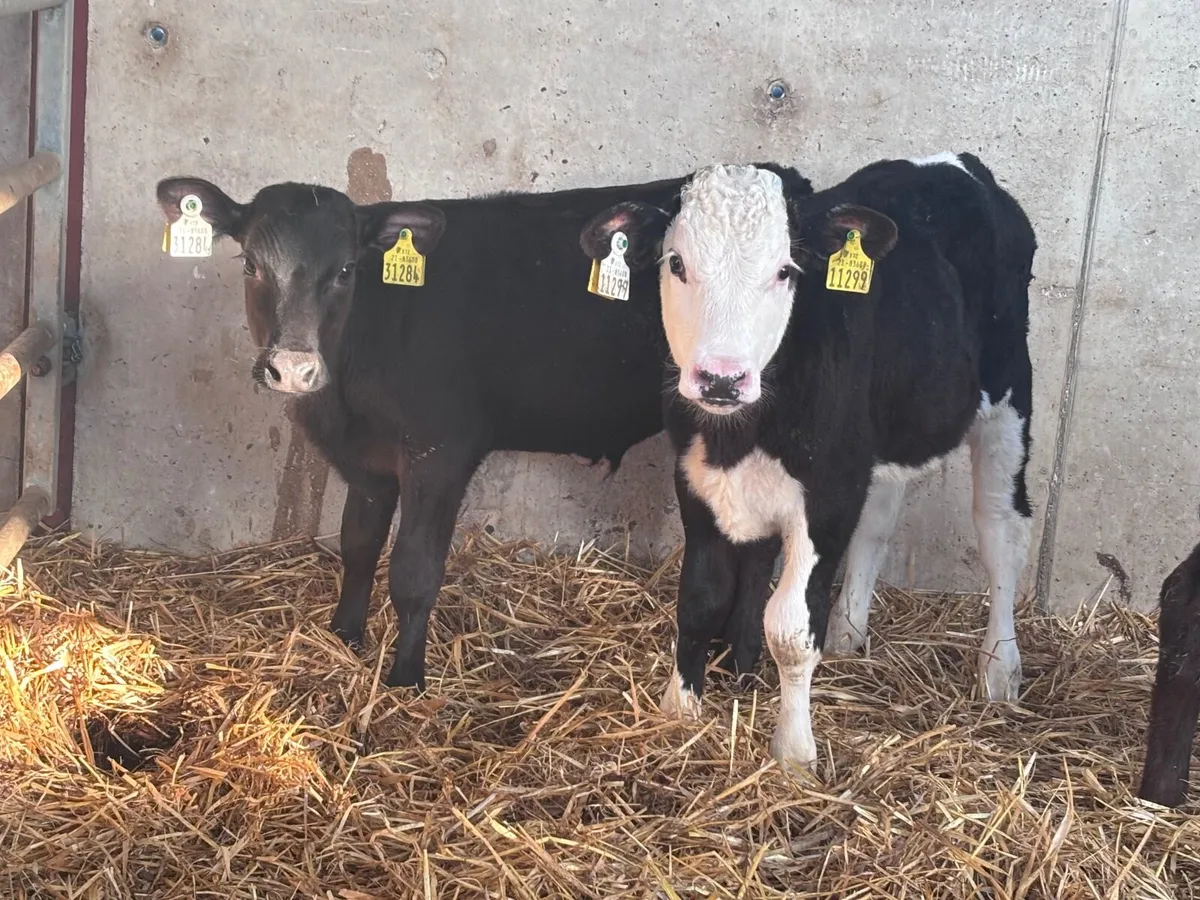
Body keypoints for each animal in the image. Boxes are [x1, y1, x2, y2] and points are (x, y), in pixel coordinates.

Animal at [155, 166, 811, 692]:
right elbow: (358, 546)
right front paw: (344, 639)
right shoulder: (367, 464)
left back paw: (742, 663)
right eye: (250, 264)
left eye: (344, 269)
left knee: (761, 551)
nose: (292, 368)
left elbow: (414, 571)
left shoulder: (440, 454)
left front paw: (404, 680)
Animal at [580, 152, 1037, 767]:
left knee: (1000, 531)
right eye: (676, 263)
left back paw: (998, 669)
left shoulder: (826, 495)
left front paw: (793, 753)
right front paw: (678, 711)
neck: (740, 437)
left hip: (1008, 399)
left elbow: (791, 630)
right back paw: (847, 632)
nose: (721, 377)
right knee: (878, 523)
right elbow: (699, 599)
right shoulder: (696, 478)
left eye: (785, 271)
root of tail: (954, 163)